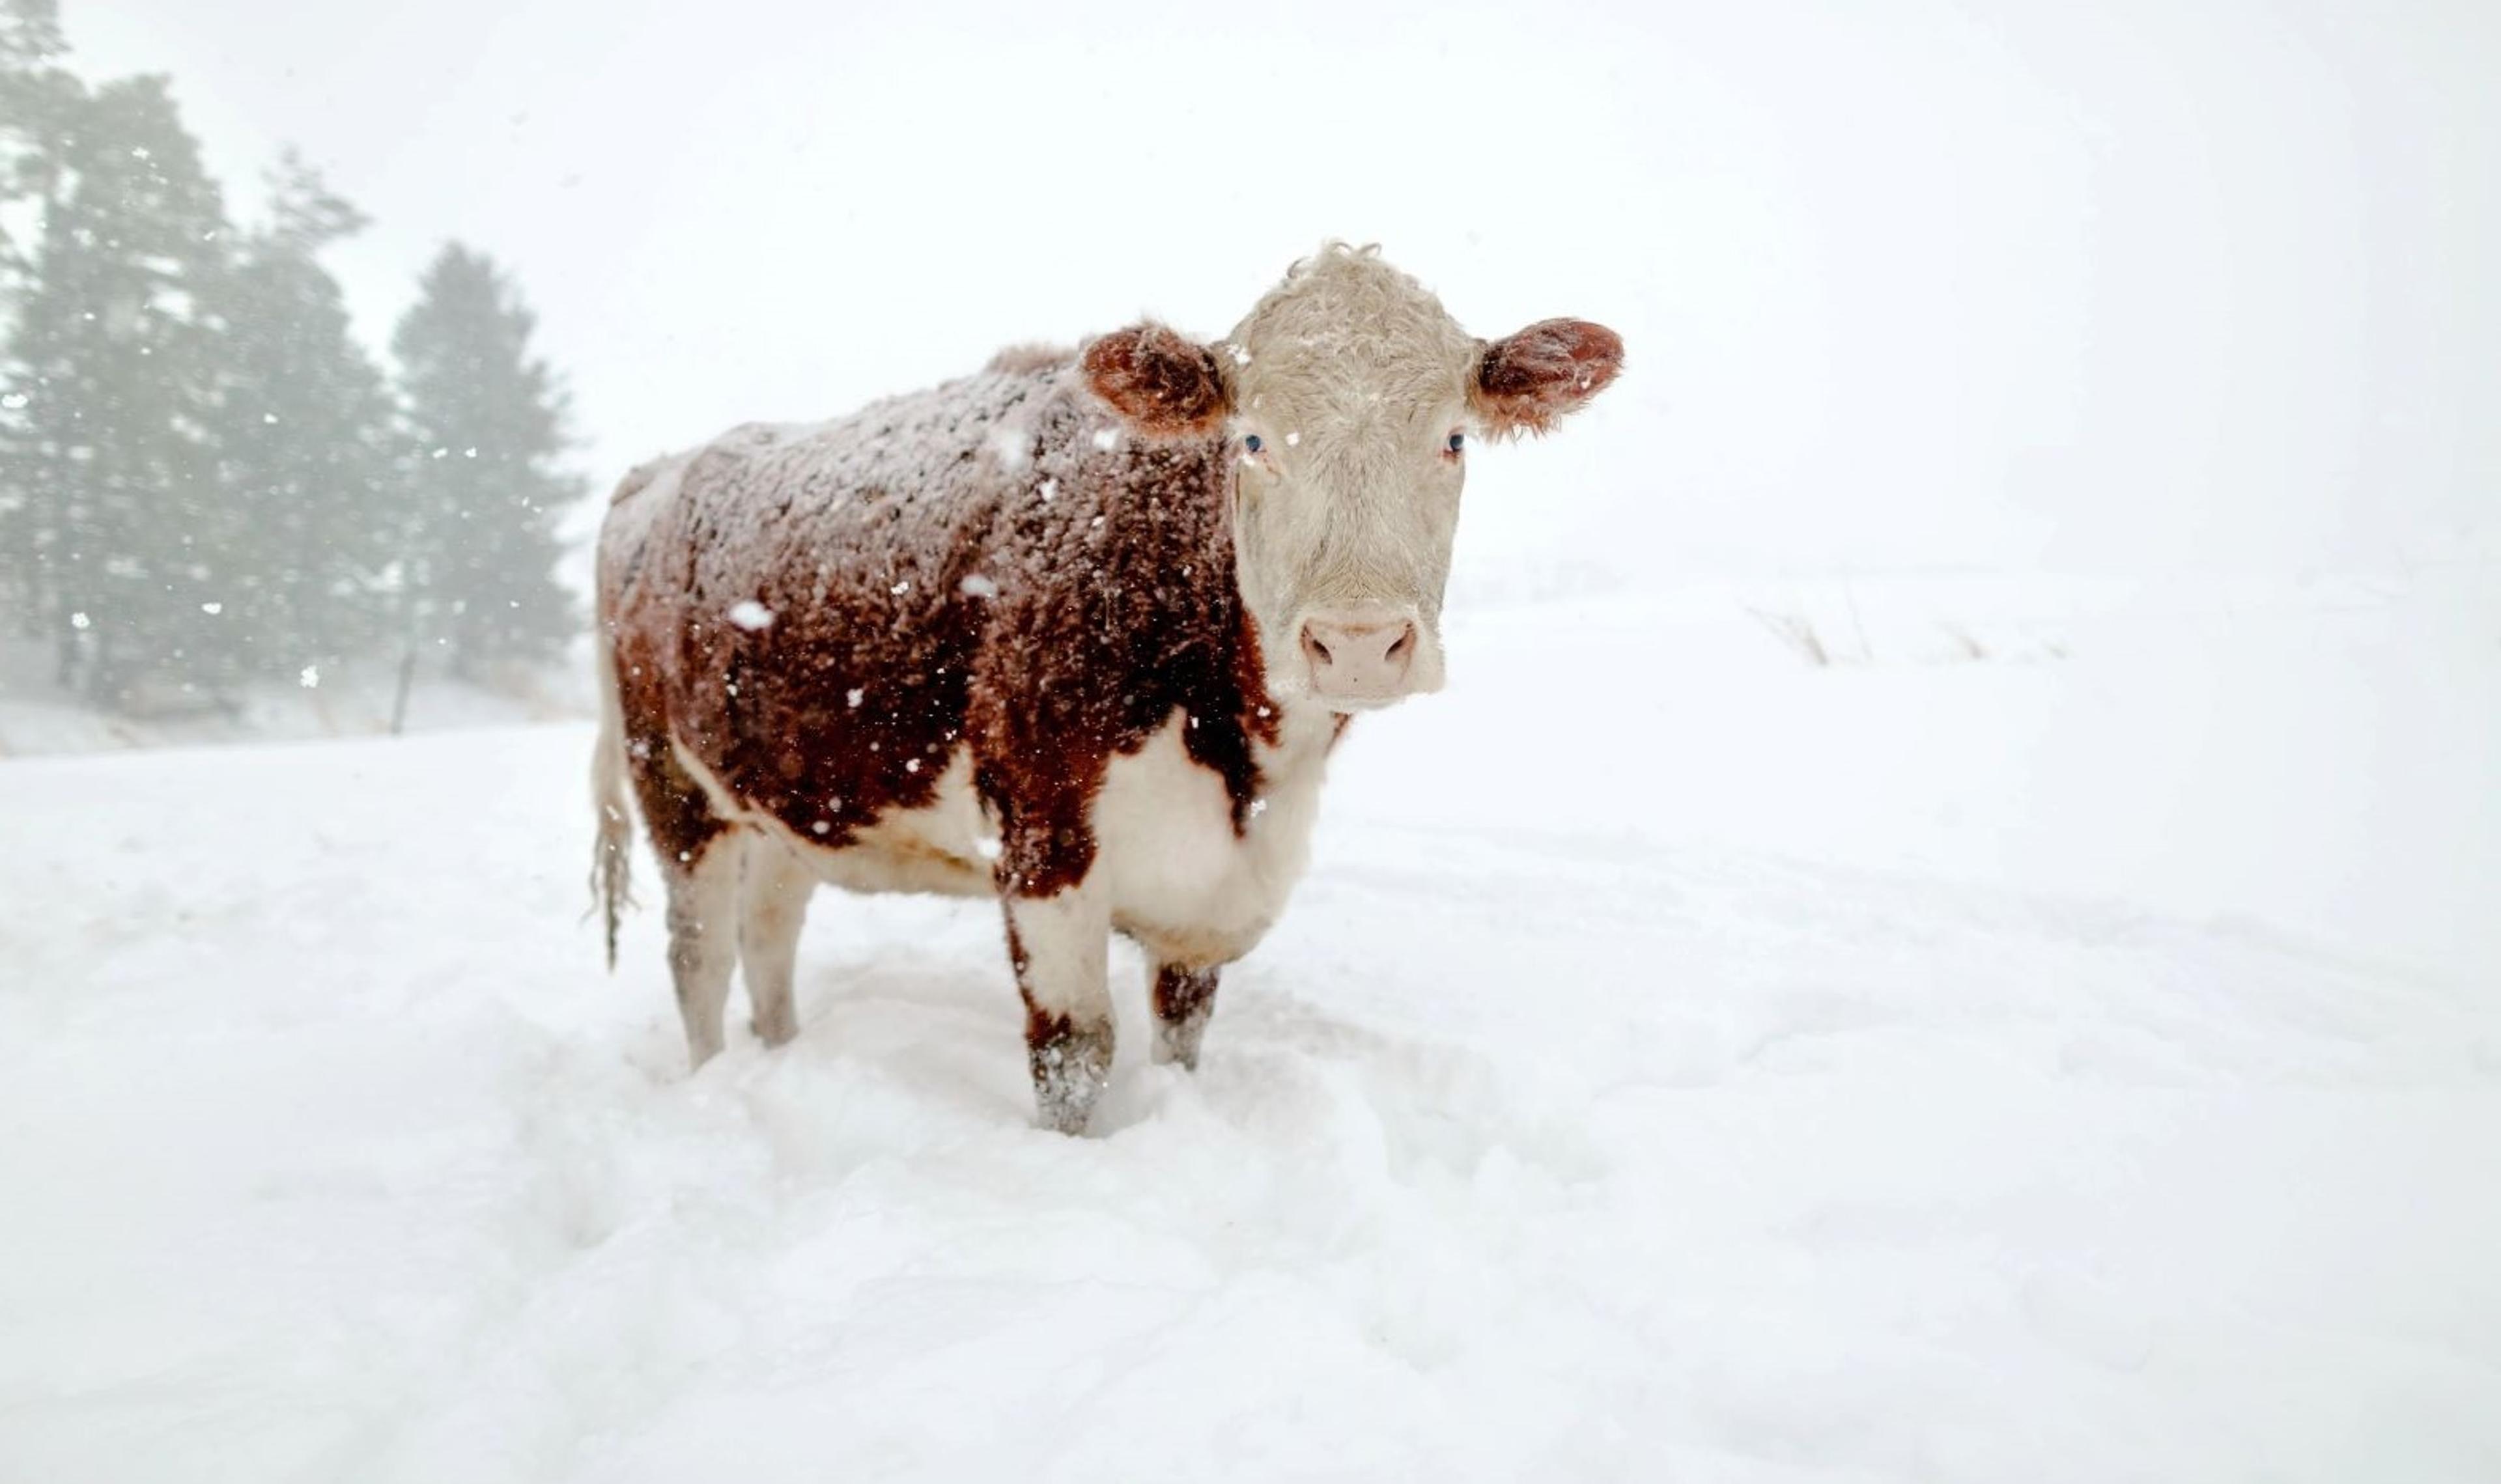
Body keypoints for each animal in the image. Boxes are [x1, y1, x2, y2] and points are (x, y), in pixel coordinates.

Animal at [597, 242, 1630, 1126]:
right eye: (1252, 440)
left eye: (1454, 439)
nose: (1358, 642)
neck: (1243, 761)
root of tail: (659, 471)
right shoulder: (1042, 843)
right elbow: (1075, 1054)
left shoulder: (1212, 893)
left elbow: (1182, 1033)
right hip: (674, 788)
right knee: (700, 956)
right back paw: (711, 1082)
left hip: (785, 797)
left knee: (769, 936)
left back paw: (781, 1056)